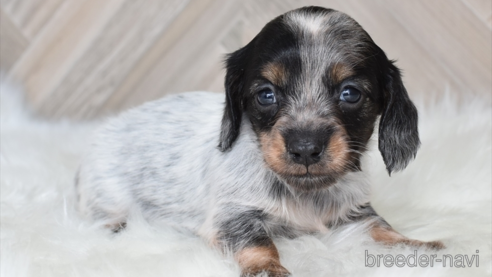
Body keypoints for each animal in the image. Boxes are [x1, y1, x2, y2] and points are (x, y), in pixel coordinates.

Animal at [76, 6, 442, 276]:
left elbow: (380, 226)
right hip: (107, 195)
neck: (305, 196)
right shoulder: (232, 215)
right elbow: (258, 243)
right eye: (266, 95)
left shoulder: (354, 210)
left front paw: (418, 246)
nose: (305, 148)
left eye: (350, 93)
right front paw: (269, 269)